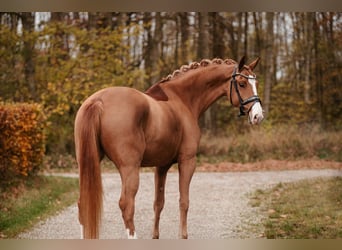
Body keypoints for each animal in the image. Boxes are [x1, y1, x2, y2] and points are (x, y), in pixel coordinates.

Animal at [74, 56, 262, 238]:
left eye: (256, 83)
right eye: (242, 83)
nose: (258, 116)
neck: (182, 99)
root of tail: (98, 101)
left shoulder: (161, 166)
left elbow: (158, 203)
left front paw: (155, 235)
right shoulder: (187, 161)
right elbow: (184, 202)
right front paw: (183, 235)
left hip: (87, 163)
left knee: (83, 204)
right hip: (130, 168)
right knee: (127, 205)